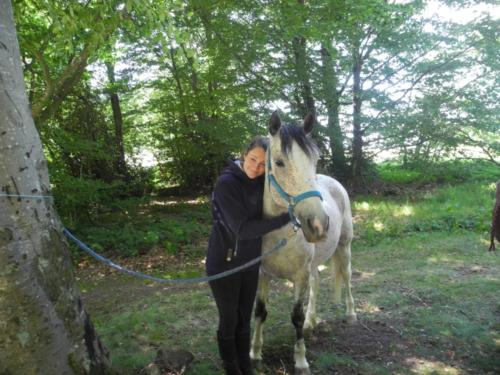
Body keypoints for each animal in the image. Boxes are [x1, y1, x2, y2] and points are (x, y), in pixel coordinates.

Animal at [250, 111, 356, 375]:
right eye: (279, 162)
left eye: (314, 160)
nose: (318, 224)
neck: (278, 235)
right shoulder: (262, 274)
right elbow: (260, 312)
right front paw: (255, 353)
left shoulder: (299, 276)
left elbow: (295, 315)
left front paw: (300, 360)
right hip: (315, 263)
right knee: (316, 282)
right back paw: (311, 321)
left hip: (344, 247)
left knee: (347, 277)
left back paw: (351, 314)